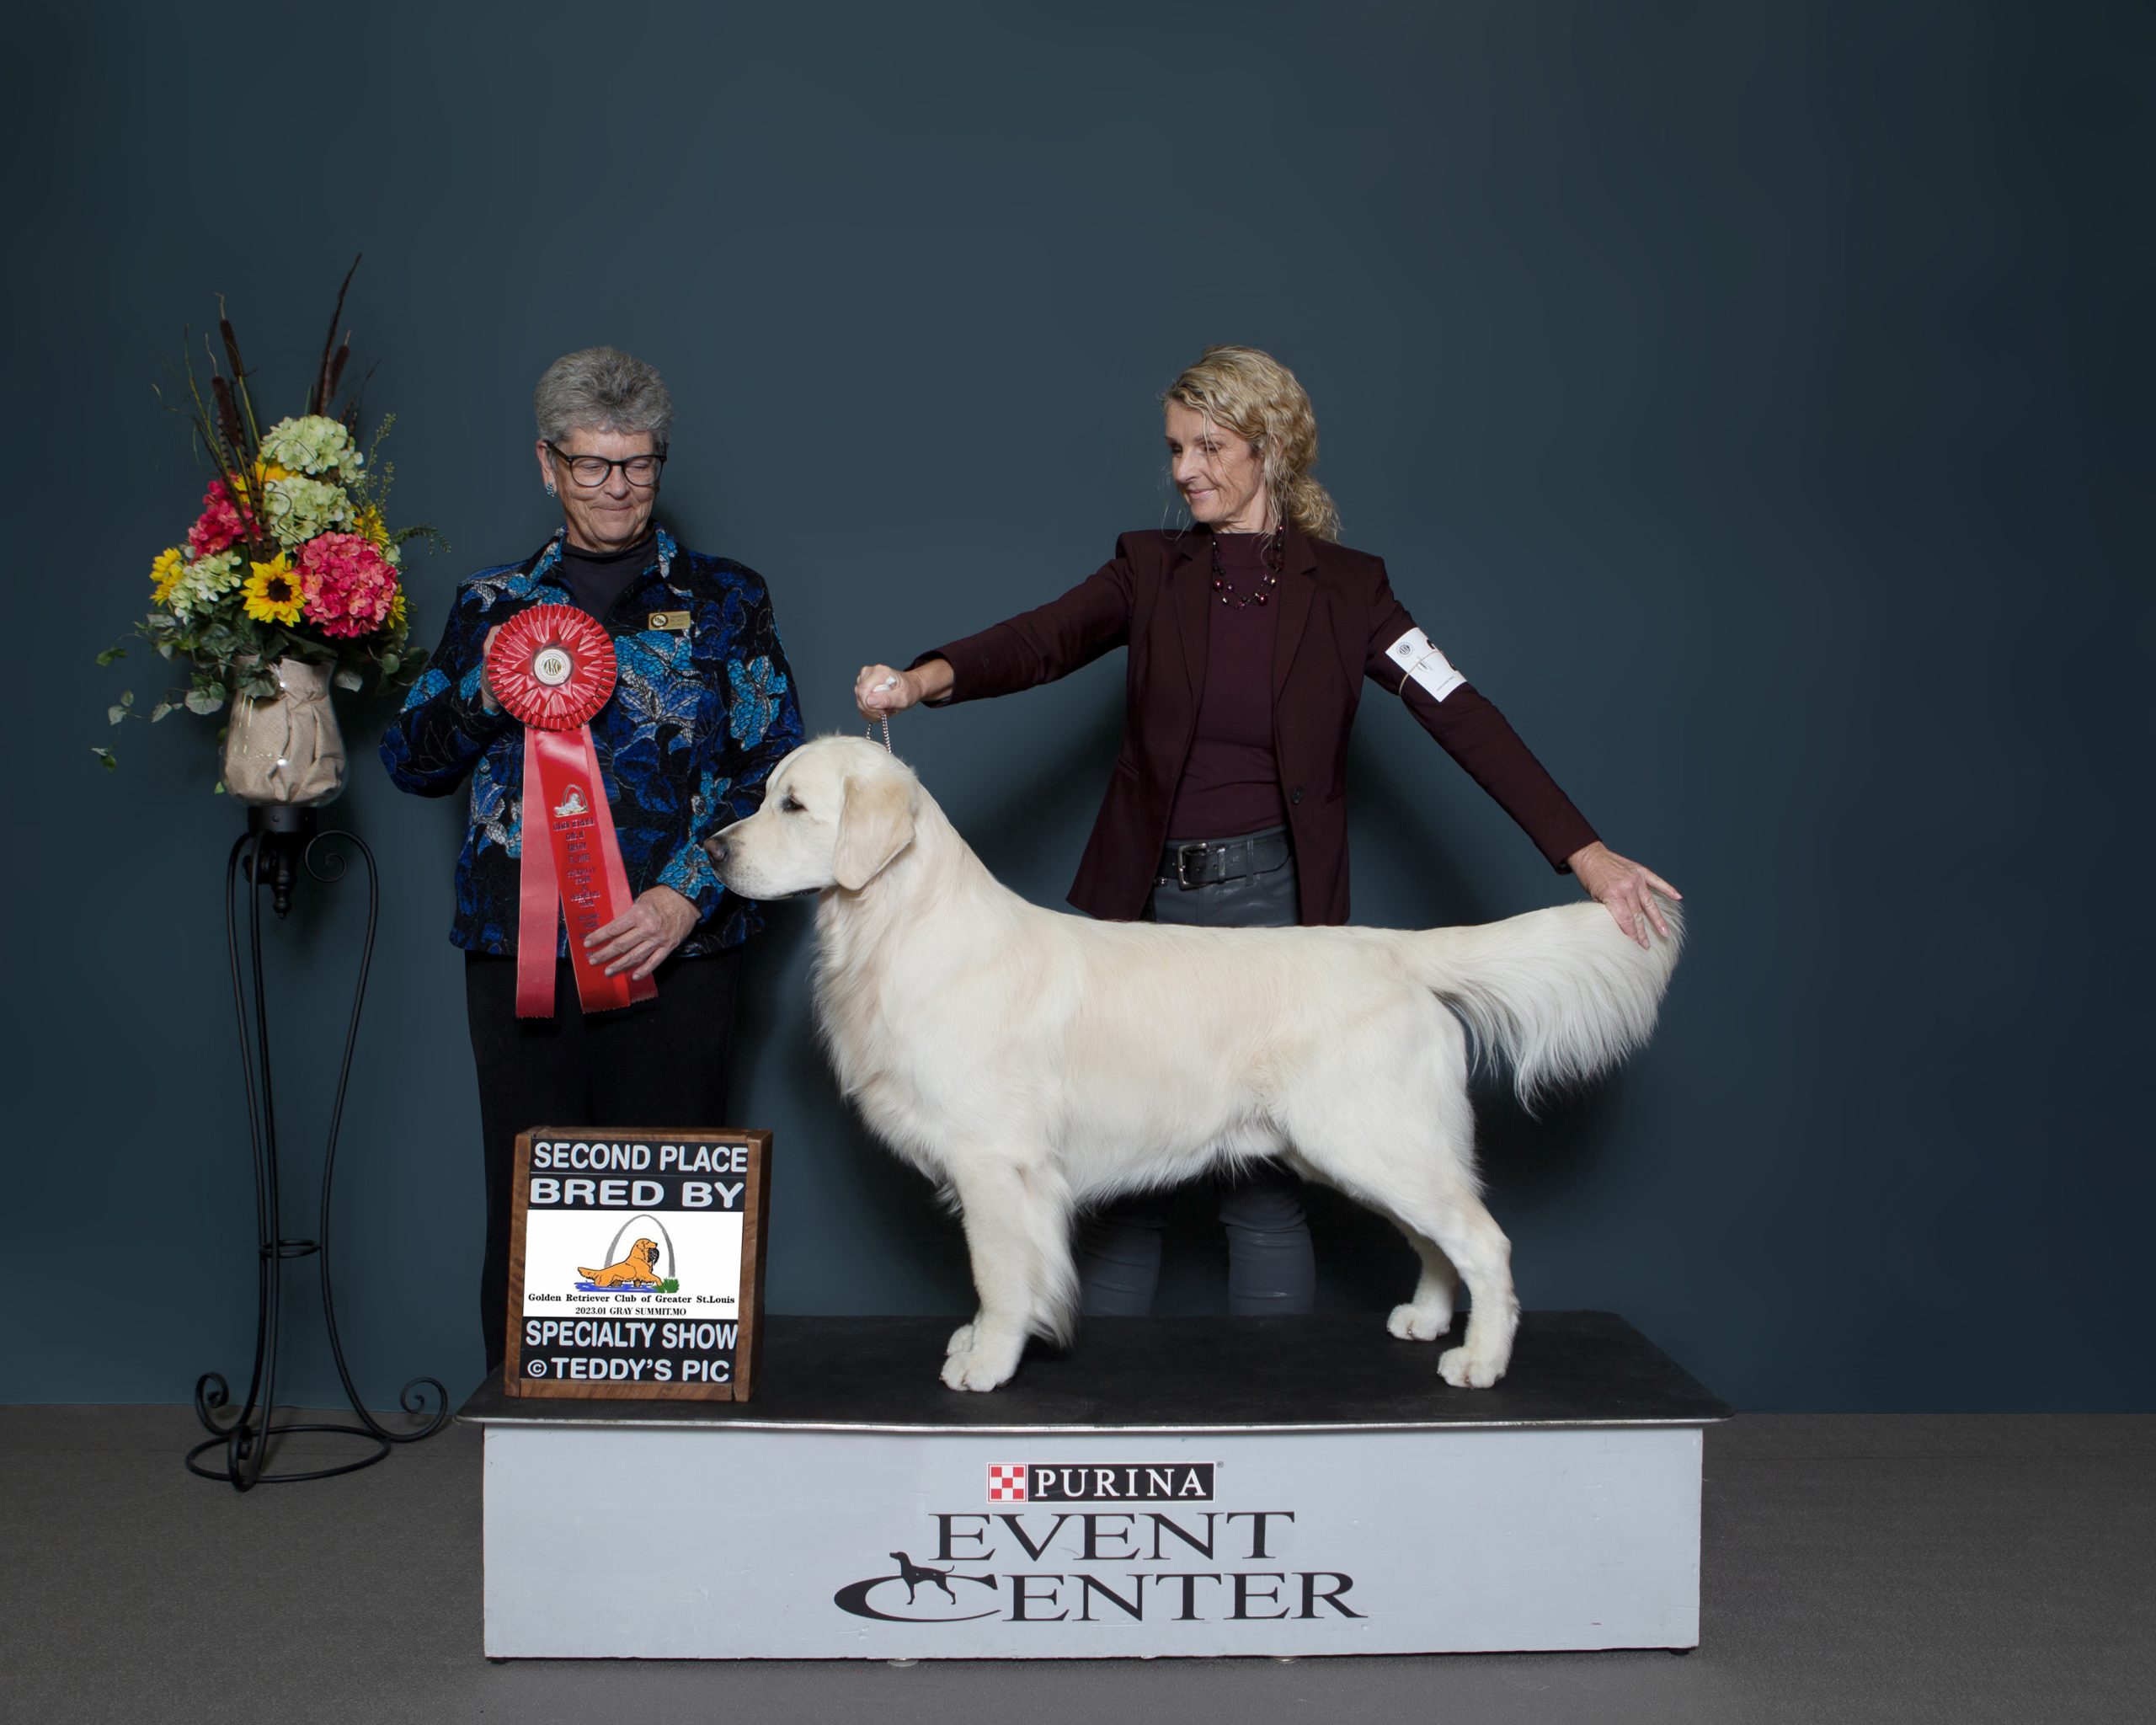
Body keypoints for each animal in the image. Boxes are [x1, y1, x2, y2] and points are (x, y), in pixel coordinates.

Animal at [708, 736, 1681, 1394]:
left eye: (792, 806)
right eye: (764, 796)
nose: (712, 850)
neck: (895, 925)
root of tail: (1396, 949)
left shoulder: (995, 1160)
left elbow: (1001, 1269)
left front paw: (990, 1357)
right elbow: (1004, 1270)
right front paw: (983, 1339)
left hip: (1375, 1138)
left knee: (1483, 1241)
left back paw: (1480, 1357)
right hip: (1357, 1149)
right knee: (1438, 1241)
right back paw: (1427, 1320)